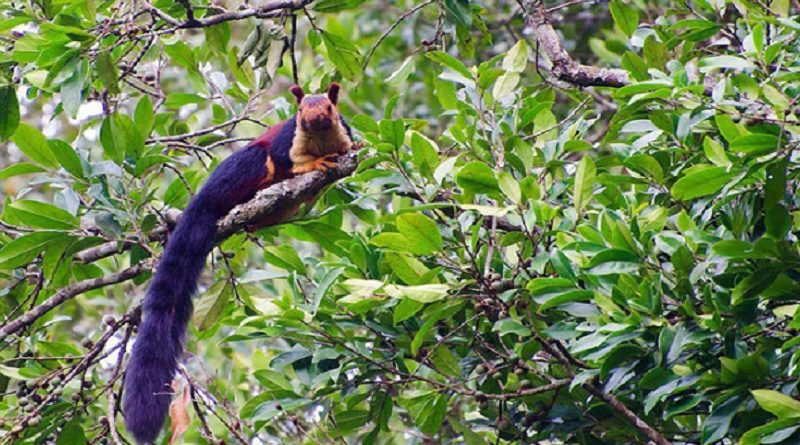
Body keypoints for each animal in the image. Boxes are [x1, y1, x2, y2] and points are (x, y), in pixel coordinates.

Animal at [124, 82, 356, 440]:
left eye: (328, 109)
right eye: (301, 110)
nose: (313, 119)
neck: (321, 140)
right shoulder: (286, 141)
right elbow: (289, 161)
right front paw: (315, 164)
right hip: (247, 167)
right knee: (261, 165)